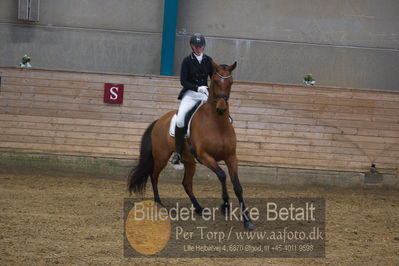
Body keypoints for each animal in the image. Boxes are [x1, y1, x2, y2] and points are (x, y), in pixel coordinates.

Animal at [128, 60, 255, 229]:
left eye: (231, 82)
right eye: (215, 81)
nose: (221, 109)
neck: (217, 124)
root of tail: (159, 120)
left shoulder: (231, 157)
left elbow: (238, 186)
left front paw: (247, 219)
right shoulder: (205, 156)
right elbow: (222, 175)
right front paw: (225, 206)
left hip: (189, 161)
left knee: (186, 183)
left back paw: (200, 209)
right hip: (162, 157)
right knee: (154, 176)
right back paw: (159, 203)